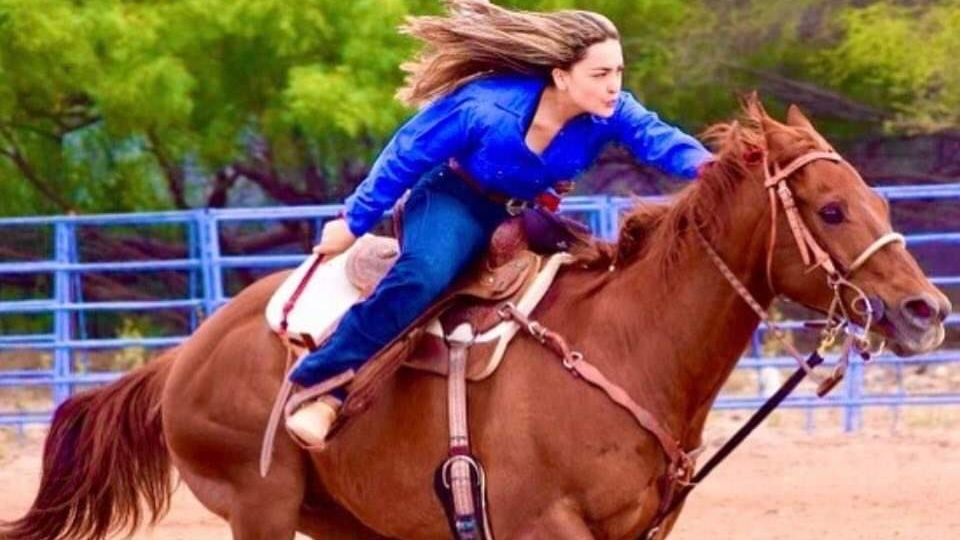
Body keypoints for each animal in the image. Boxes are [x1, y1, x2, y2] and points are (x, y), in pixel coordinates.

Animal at [1, 98, 952, 540]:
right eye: (831, 209)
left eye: (875, 198)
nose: (927, 309)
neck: (628, 348)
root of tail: (184, 357)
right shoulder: (549, 528)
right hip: (259, 507)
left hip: (344, 518)